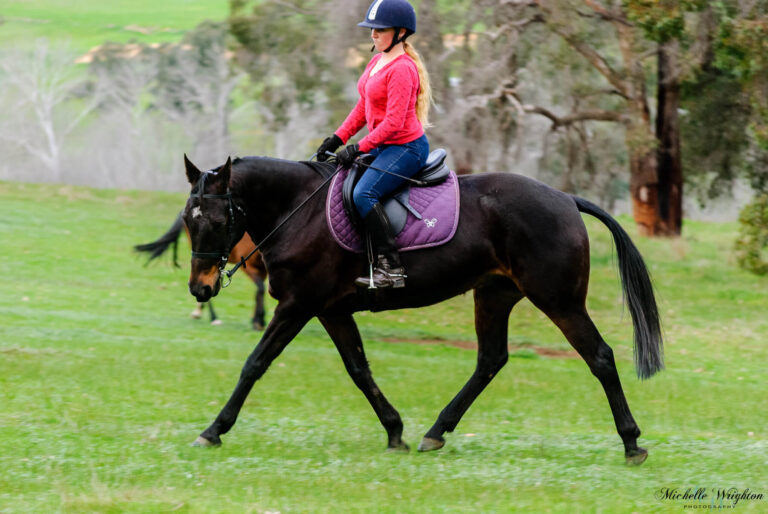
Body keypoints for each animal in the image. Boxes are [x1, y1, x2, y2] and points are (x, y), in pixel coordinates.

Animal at [136, 211, 268, 328]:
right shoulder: (248, 266)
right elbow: (261, 288)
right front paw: (259, 320)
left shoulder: (263, 270)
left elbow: (259, 291)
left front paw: (256, 319)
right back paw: (213, 317)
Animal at [182, 153, 664, 464]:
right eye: (188, 220)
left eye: (219, 221)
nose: (200, 288)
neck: (299, 211)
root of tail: (565, 198)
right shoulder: (330, 309)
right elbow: (359, 370)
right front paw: (394, 430)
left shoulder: (299, 304)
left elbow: (255, 364)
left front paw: (213, 430)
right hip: (494, 295)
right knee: (490, 360)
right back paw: (436, 432)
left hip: (558, 300)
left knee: (599, 356)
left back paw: (632, 443)